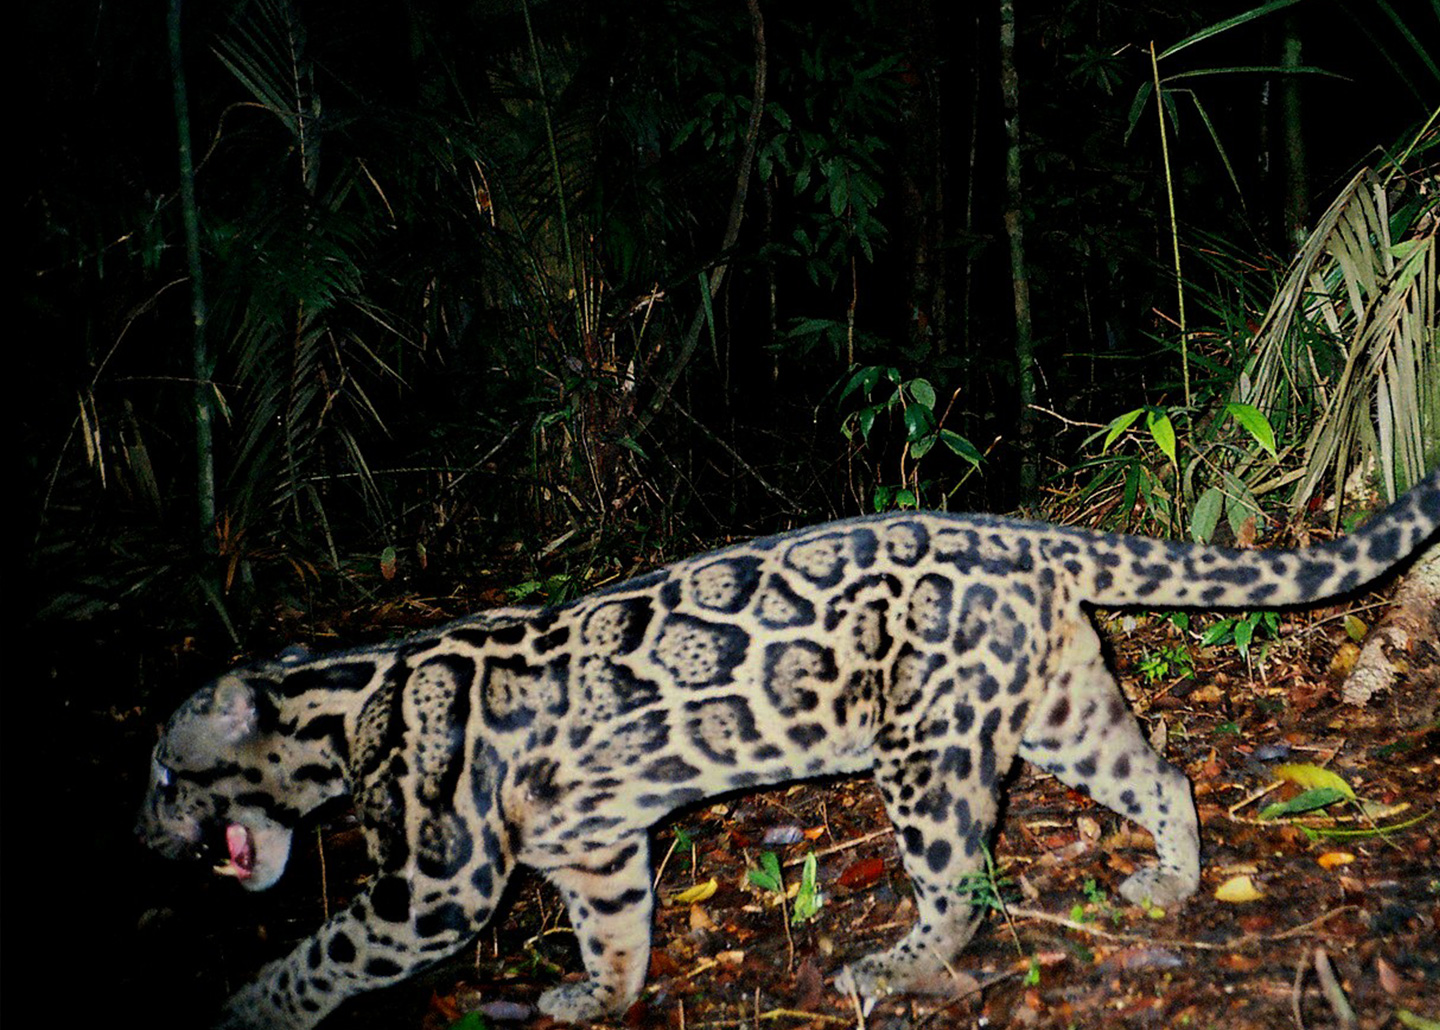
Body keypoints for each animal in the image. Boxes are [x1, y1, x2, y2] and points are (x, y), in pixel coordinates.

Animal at [137, 469, 1439, 1028]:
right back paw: (1171, 880)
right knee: (1160, 773)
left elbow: (327, 950)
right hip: (1065, 703)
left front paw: (249, 1009)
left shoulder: (434, 883)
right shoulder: (594, 845)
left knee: (961, 878)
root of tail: (1024, 534)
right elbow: (615, 928)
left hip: (923, 744)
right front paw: (601, 996)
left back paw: (892, 968)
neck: (341, 705)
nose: (143, 830)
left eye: (161, 772)